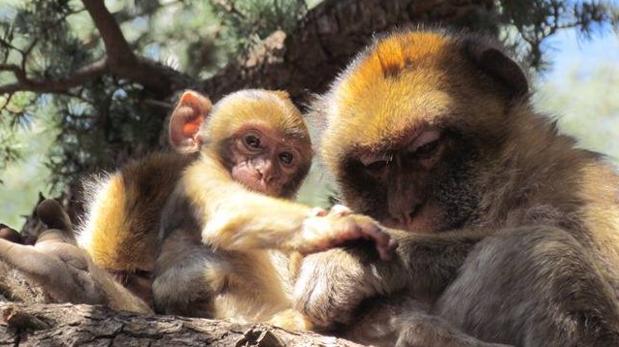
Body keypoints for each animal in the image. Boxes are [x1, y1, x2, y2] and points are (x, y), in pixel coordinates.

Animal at [153, 89, 394, 328]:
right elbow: (230, 214)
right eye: (252, 141)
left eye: (285, 157)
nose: (265, 172)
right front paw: (335, 225)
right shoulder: (198, 176)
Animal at [294, 30, 619, 347]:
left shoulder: (574, 185)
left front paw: (357, 255)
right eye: (377, 165)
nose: (404, 209)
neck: (505, 189)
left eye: (426, 148)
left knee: (536, 248)